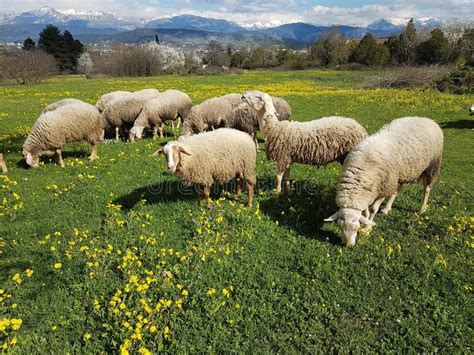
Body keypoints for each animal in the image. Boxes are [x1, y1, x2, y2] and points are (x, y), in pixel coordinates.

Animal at [324, 117, 442, 248]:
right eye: (339, 227)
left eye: (356, 226)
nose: (348, 245)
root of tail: (429, 120)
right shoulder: (372, 188)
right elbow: (366, 209)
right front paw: (366, 218)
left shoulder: (383, 188)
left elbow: (373, 209)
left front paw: (367, 229)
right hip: (399, 174)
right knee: (397, 190)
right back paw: (387, 208)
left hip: (432, 166)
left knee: (427, 189)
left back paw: (422, 208)